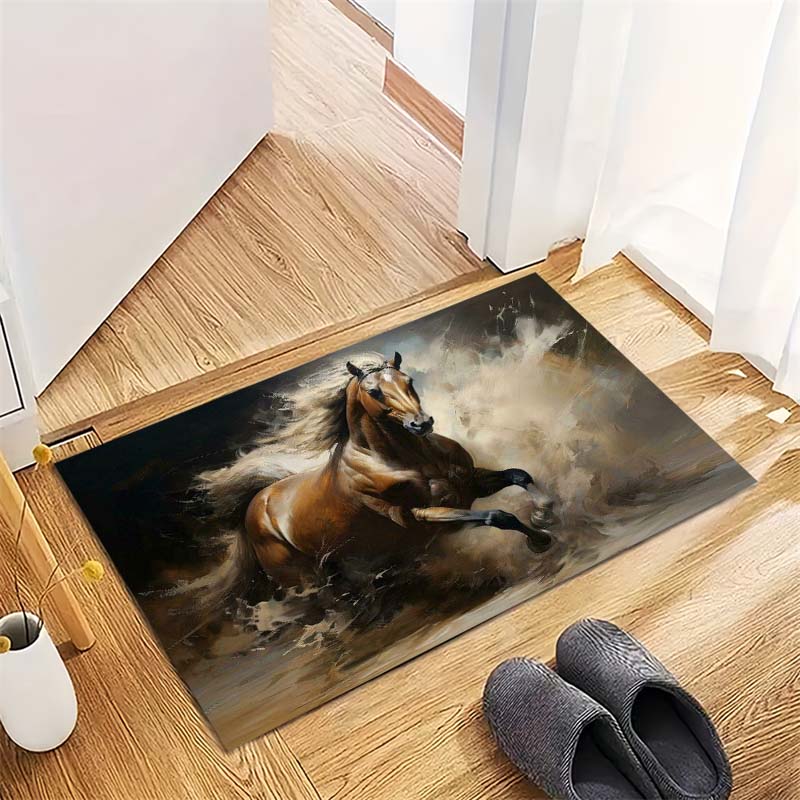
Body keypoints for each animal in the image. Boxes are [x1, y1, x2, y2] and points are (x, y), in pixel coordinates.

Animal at [239, 351, 556, 592]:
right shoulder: (430, 517)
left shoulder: (471, 483)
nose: (421, 423)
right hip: (301, 577)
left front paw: (544, 513)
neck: (411, 461)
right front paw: (540, 540)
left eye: (409, 381)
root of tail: (257, 504)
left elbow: (519, 475)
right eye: (374, 391)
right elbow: (498, 516)